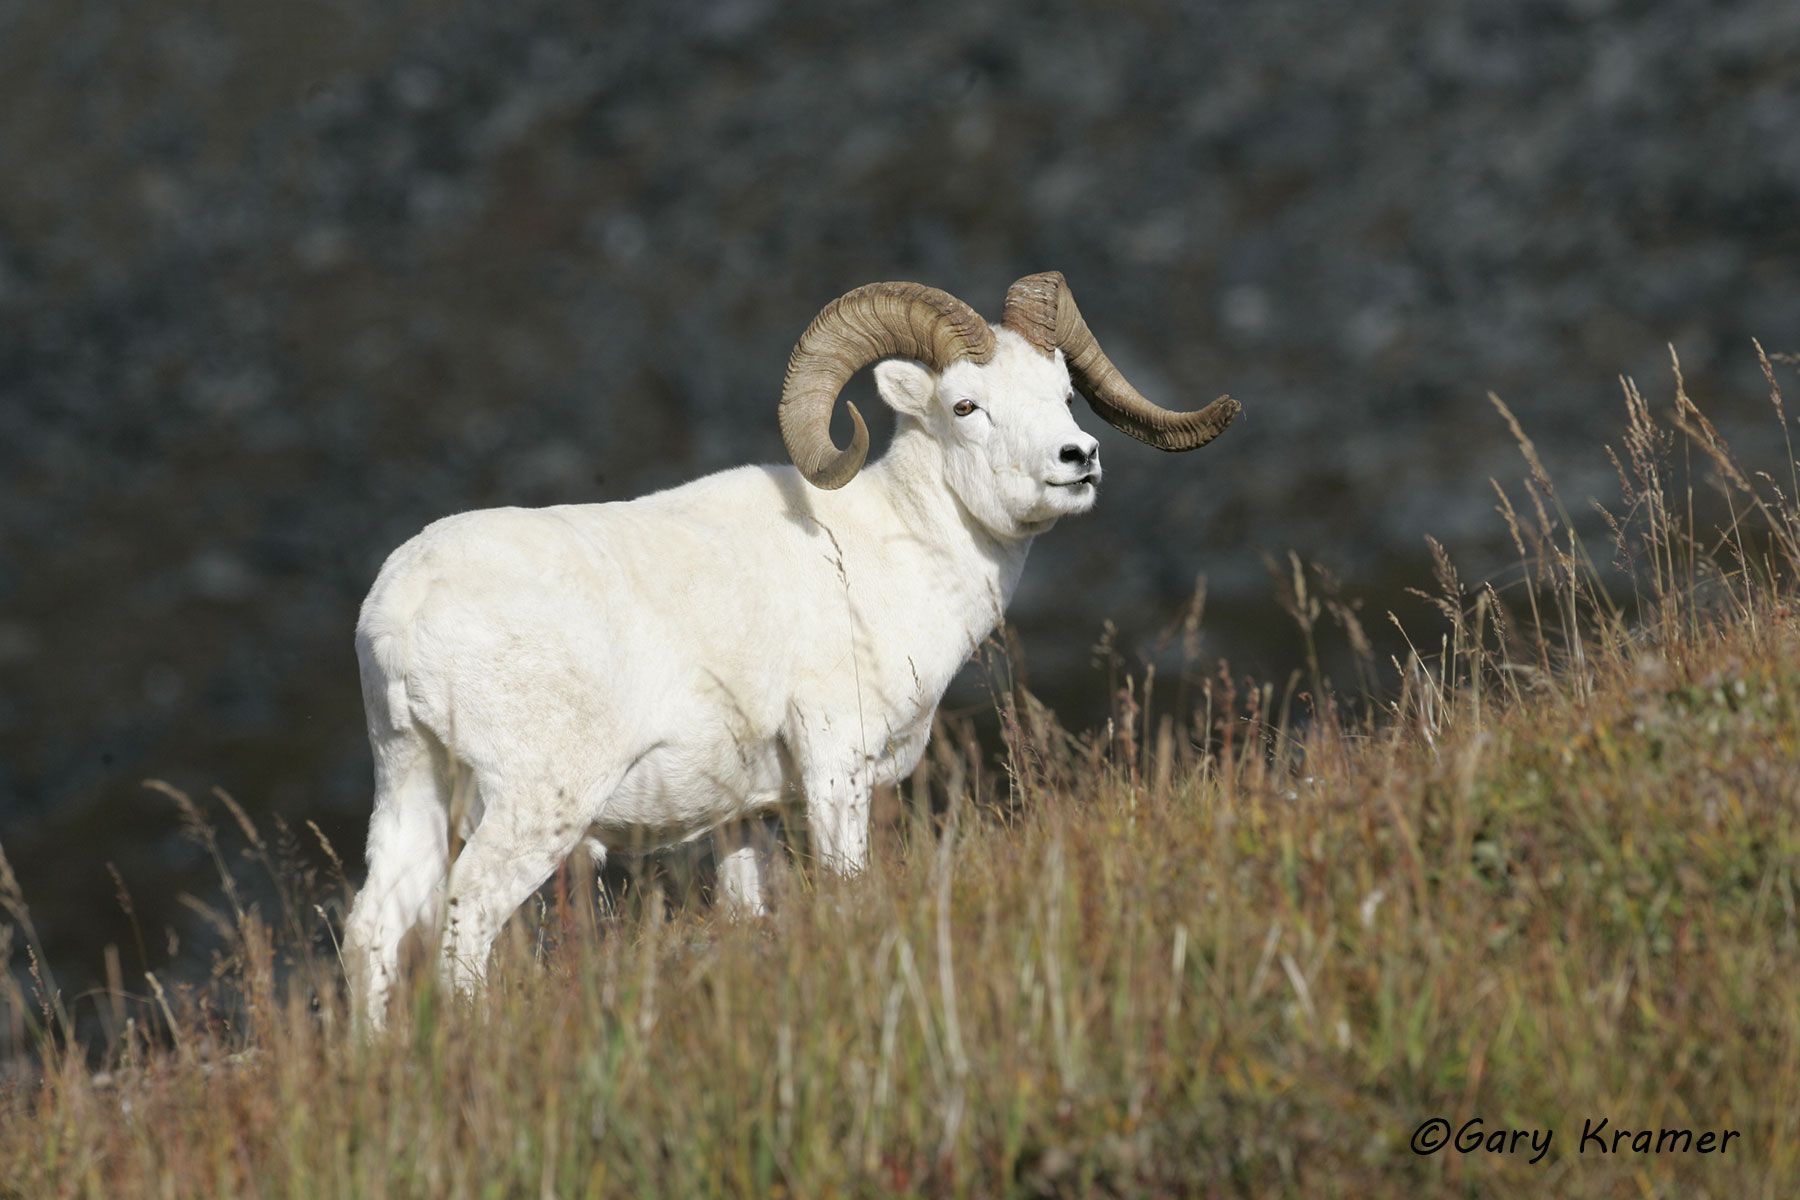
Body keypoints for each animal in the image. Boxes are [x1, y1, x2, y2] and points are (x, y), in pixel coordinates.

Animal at [342, 272, 1238, 1029]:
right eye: (966, 406)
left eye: (1062, 394)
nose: (1076, 461)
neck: (891, 553)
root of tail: (400, 612)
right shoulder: (835, 767)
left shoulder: (750, 817)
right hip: (534, 807)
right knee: (466, 921)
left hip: (411, 782)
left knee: (372, 931)